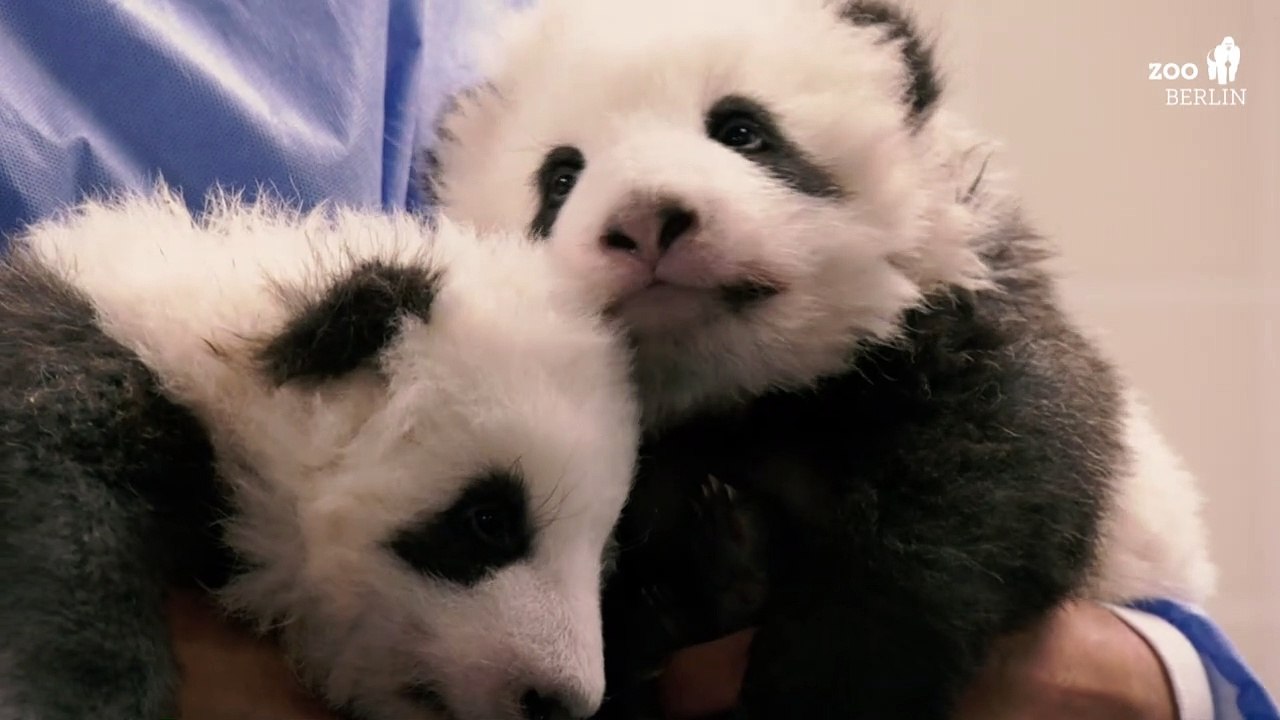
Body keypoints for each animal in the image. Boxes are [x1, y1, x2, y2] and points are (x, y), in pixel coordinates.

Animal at [426, 0, 1218, 718]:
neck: (741, 391)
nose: (646, 221)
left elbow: (979, 491)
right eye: (560, 178)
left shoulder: (952, 341)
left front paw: (818, 685)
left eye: (743, 131)